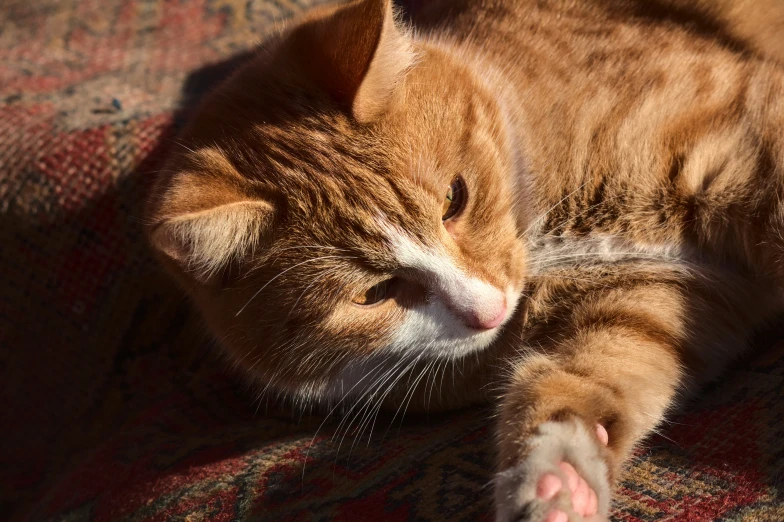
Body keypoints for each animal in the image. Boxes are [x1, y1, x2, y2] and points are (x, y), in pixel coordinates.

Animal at [144, 2, 784, 516]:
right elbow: (577, 388)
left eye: (455, 198)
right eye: (374, 293)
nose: (490, 310)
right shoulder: (646, 299)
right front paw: (557, 485)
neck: (546, 231)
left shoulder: (744, 145)